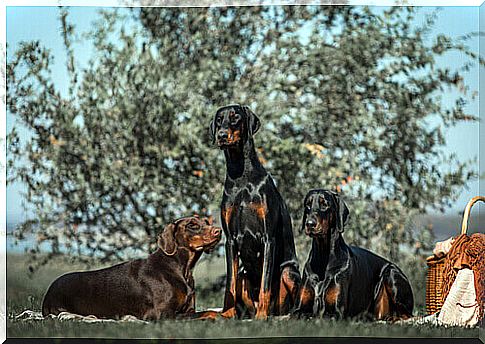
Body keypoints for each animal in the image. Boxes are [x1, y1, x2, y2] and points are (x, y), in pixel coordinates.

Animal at [41, 216, 221, 322]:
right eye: (192, 225)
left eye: (207, 222)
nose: (218, 231)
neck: (180, 268)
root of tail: (49, 290)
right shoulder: (161, 315)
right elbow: (207, 313)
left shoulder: (189, 309)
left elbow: (207, 311)